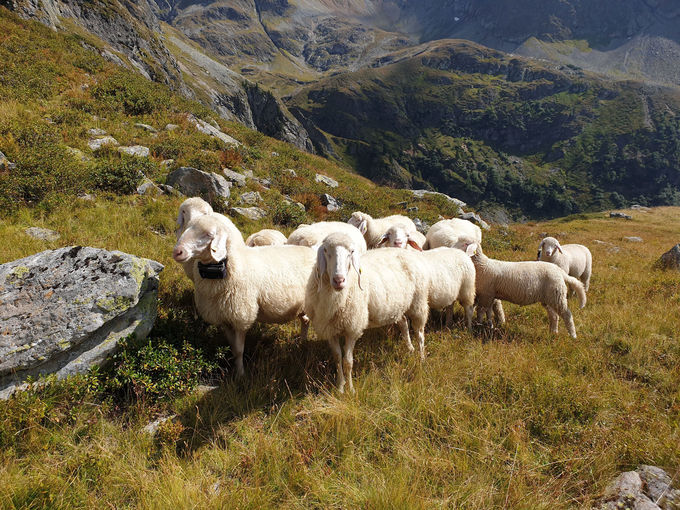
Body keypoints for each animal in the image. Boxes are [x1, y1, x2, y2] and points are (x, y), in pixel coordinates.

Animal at [173, 213, 316, 376]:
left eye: (209, 234)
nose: (177, 252)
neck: (238, 263)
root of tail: (311, 250)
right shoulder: (225, 318)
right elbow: (233, 349)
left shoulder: (241, 316)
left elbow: (239, 350)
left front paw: (240, 374)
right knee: (305, 320)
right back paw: (302, 342)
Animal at [304, 233, 428, 392]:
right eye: (325, 250)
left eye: (351, 252)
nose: (339, 280)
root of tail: (405, 251)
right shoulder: (330, 330)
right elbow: (337, 359)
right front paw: (340, 387)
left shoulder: (352, 328)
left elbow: (347, 361)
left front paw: (350, 389)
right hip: (397, 306)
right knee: (404, 324)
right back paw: (410, 348)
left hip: (419, 301)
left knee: (419, 333)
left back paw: (421, 358)